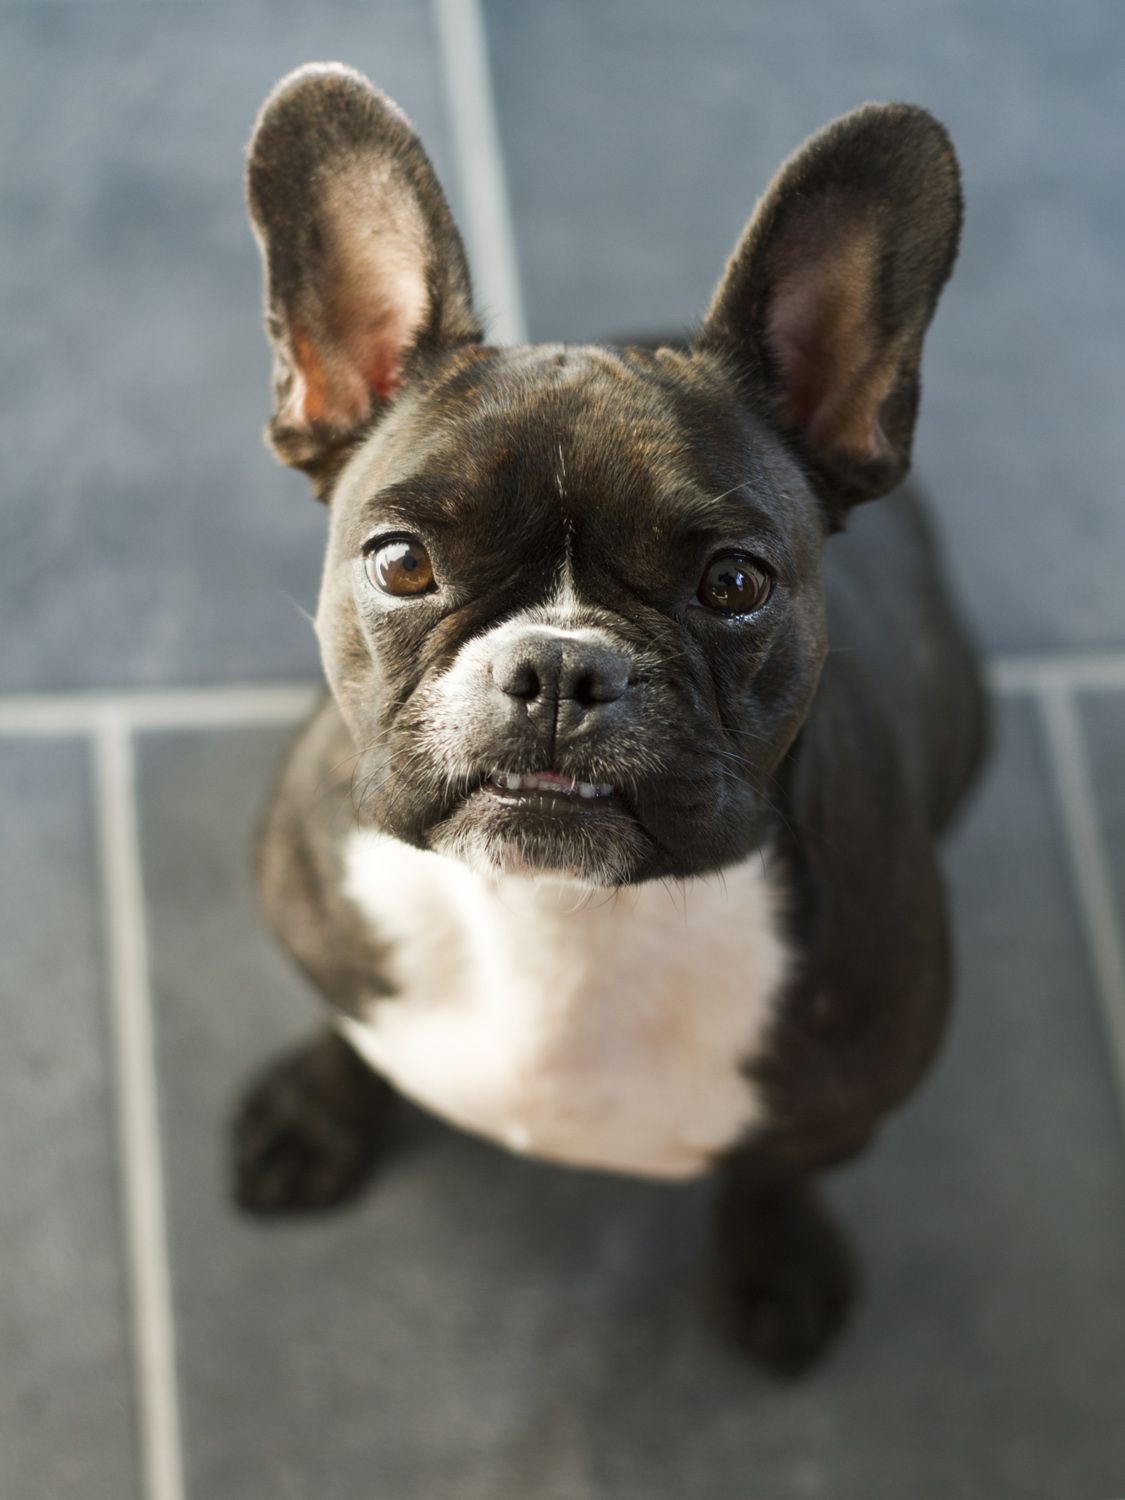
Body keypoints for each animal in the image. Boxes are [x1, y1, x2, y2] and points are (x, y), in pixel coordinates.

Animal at [235, 61, 984, 1374]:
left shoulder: (839, 1108)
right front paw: (314, 1111)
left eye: (733, 582)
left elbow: (774, 1174)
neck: (559, 914)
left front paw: (775, 1265)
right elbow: (349, 1025)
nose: (556, 668)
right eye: (401, 562)